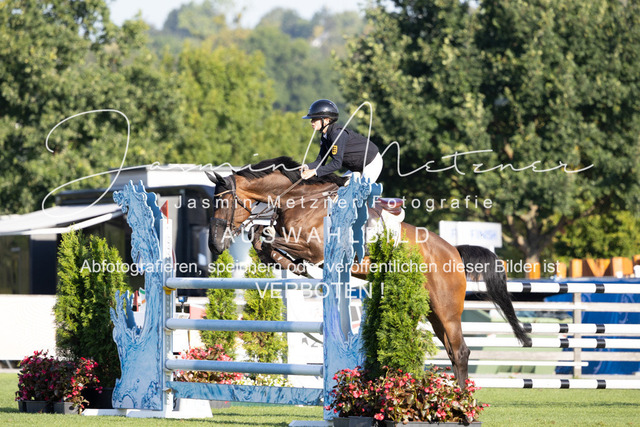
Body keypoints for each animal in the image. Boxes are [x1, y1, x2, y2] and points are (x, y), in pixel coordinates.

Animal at [205, 156, 531, 387]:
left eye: (222, 201)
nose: (215, 245)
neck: (301, 200)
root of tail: (453, 251)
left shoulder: (316, 249)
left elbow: (268, 237)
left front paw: (299, 267)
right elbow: (261, 237)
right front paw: (287, 263)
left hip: (446, 308)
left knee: (461, 351)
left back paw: (464, 404)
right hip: (432, 311)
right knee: (453, 351)